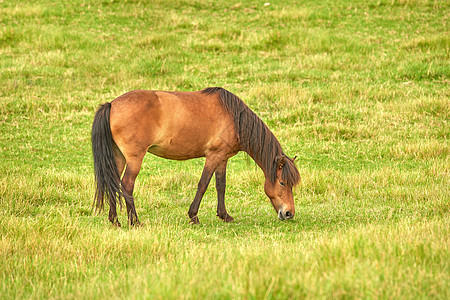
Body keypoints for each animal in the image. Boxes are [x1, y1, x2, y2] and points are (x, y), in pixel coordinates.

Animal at [91, 86, 298, 225]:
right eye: (282, 183)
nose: (289, 213)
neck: (233, 117)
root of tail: (112, 105)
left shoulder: (222, 158)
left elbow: (220, 185)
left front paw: (224, 215)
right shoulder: (213, 156)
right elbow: (203, 184)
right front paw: (194, 217)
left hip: (118, 157)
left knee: (113, 182)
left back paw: (115, 220)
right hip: (134, 158)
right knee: (126, 185)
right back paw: (135, 221)